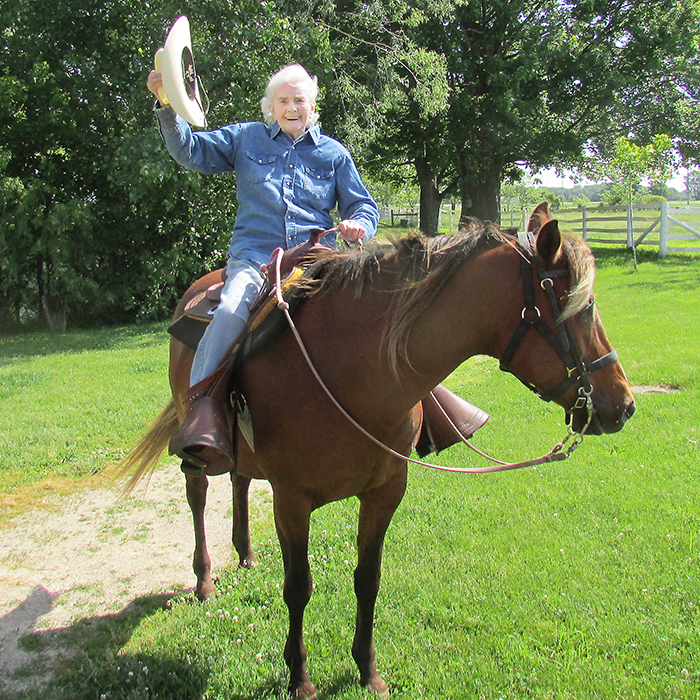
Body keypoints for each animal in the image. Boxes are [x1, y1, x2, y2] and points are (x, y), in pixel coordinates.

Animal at [120, 211, 636, 696]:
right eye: (584, 306)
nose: (624, 404)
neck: (352, 368)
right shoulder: (291, 500)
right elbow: (298, 587)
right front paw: (299, 678)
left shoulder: (385, 491)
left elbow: (367, 579)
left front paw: (367, 670)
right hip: (195, 442)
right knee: (199, 495)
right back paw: (205, 579)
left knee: (241, 479)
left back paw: (245, 554)